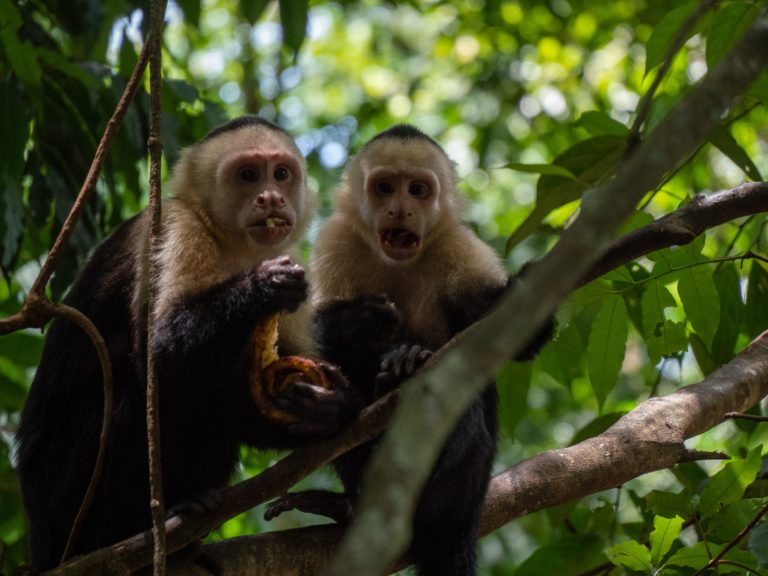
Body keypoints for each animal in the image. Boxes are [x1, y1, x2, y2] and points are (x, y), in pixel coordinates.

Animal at [15, 117, 352, 572]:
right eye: (249, 175)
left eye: (281, 173)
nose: (270, 197)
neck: (230, 245)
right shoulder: (174, 229)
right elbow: (162, 358)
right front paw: (263, 287)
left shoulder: (291, 256)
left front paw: (326, 410)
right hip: (57, 497)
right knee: (134, 399)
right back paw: (130, 531)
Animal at [268, 125, 548, 576]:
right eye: (385, 188)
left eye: (417, 190)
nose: (399, 210)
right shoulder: (337, 240)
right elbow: (306, 340)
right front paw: (359, 321)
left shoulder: (460, 247)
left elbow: (515, 338)